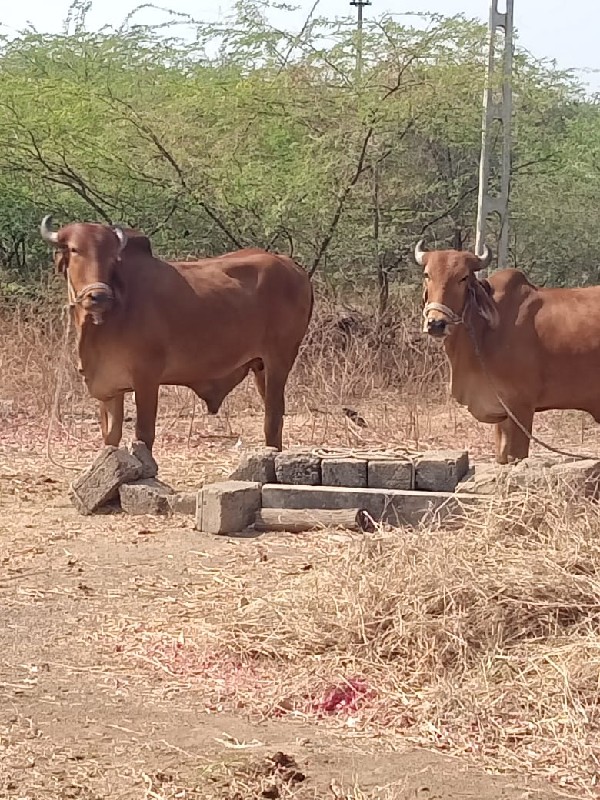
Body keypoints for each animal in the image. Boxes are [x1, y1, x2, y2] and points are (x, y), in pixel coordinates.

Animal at [41, 216, 314, 454]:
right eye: (75, 249)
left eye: (111, 256)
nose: (99, 296)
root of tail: (293, 267)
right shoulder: (111, 387)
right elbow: (111, 437)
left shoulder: (147, 378)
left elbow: (143, 434)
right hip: (260, 367)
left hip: (279, 360)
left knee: (273, 418)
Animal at [418, 239, 600, 462]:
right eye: (427, 274)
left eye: (463, 277)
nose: (436, 323)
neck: (483, 332)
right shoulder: (502, 413)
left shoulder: (521, 406)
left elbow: (516, 456)